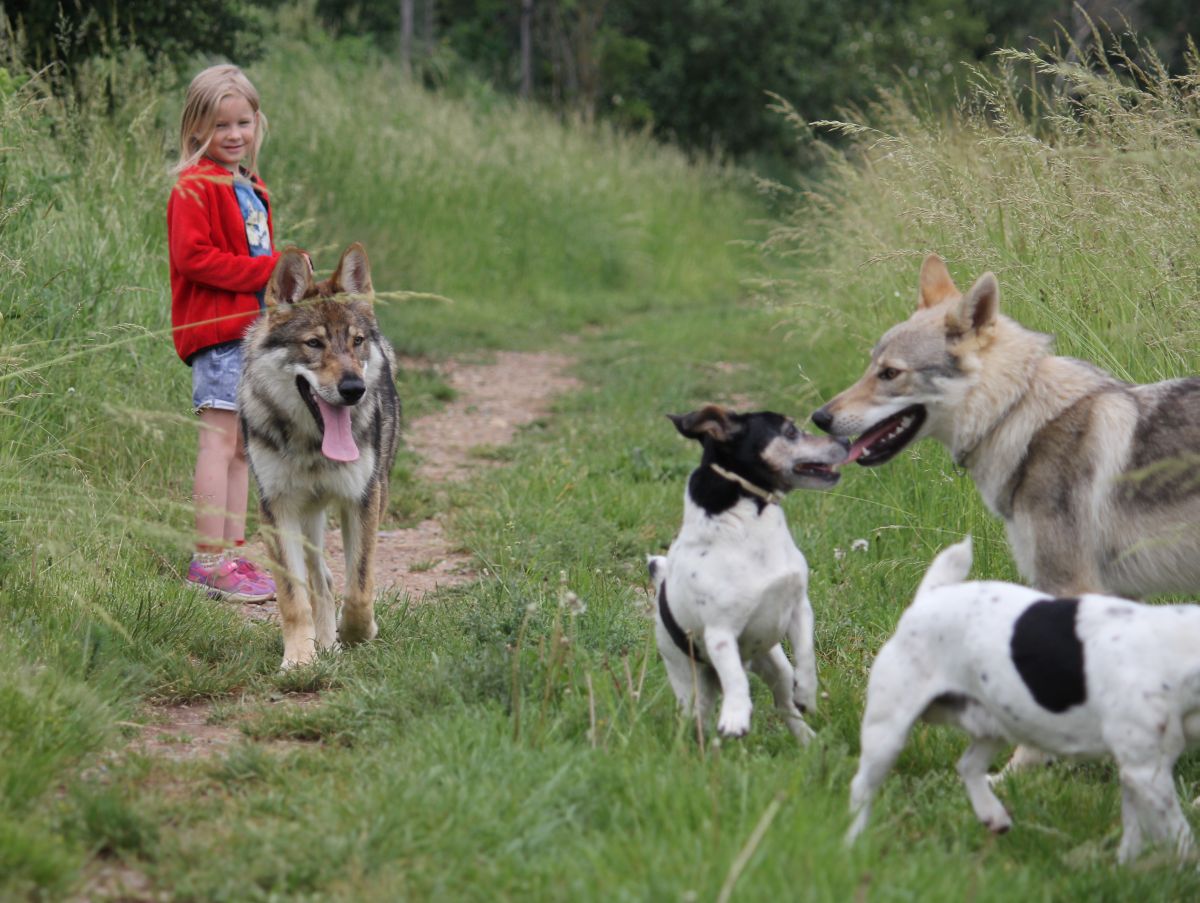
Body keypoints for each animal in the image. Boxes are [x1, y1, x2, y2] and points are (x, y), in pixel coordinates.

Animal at [652, 408, 849, 739]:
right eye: (790, 431)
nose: (846, 440)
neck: (750, 516)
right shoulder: (720, 633)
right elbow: (735, 679)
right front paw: (735, 716)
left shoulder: (799, 608)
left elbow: (806, 654)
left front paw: (807, 692)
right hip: (690, 683)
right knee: (701, 714)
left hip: (775, 665)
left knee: (784, 704)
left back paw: (807, 739)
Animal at [849, 540, 1200, 864]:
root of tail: (929, 597)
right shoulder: (1147, 773)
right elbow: (1179, 833)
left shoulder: (1140, 771)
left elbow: (1135, 831)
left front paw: (1127, 868)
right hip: (888, 732)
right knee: (862, 787)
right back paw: (855, 842)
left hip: (994, 724)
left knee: (969, 765)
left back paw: (992, 814)